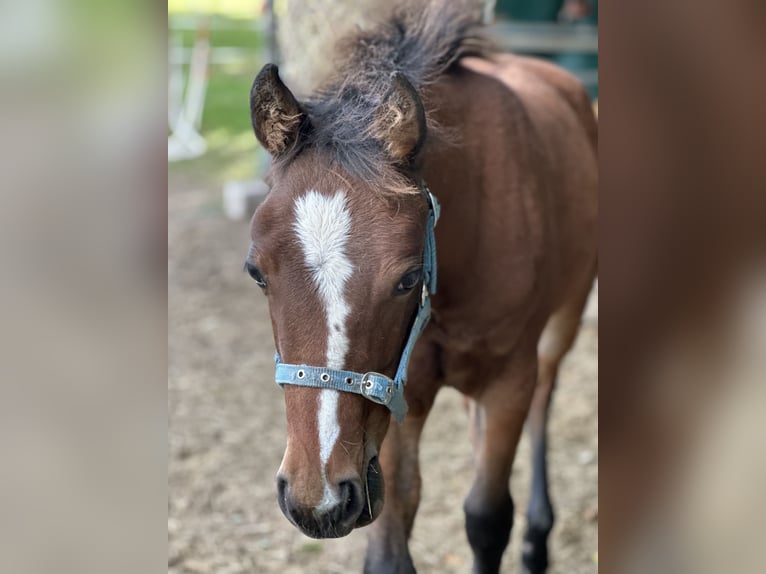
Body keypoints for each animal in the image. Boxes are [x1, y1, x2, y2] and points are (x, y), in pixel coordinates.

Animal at [246, 2, 600, 572]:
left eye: (408, 278)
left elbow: (487, 518)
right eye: (256, 272)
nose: (317, 501)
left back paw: (537, 540)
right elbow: (391, 543)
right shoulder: (394, 392)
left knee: (544, 400)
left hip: (562, 322)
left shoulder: (509, 381)